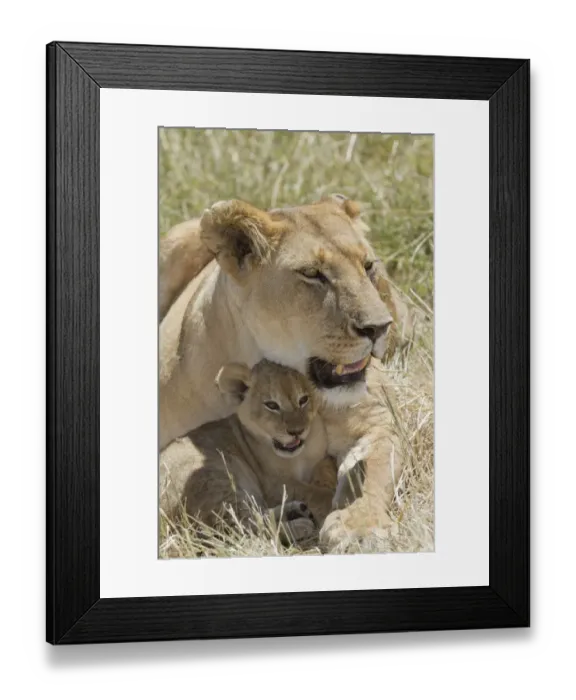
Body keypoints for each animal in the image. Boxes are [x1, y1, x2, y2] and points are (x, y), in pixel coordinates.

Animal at [160, 359, 337, 543]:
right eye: (272, 405)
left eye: (303, 400)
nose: (297, 431)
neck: (300, 455)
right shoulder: (273, 484)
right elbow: (313, 492)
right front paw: (332, 499)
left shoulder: (322, 456)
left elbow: (326, 468)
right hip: (218, 480)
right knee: (245, 530)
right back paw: (300, 525)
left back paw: (297, 510)